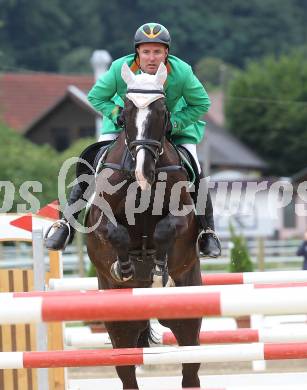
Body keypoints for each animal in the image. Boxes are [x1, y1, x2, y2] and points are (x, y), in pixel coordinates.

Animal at [86, 62, 202, 388]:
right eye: (125, 111)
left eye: (161, 110)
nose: (143, 173)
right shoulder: (99, 215)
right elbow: (116, 233)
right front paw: (124, 268)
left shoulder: (183, 214)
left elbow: (164, 230)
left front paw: (159, 269)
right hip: (120, 324)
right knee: (127, 372)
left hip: (186, 316)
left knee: (190, 369)